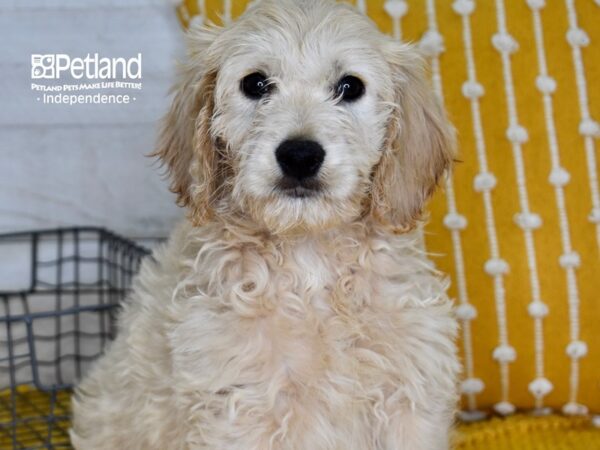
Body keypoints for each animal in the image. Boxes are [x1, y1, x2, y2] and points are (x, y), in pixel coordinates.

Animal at [72, 1, 462, 448]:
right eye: (256, 84)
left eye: (350, 86)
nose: (300, 155)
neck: (310, 262)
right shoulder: (241, 408)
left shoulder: (408, 399)